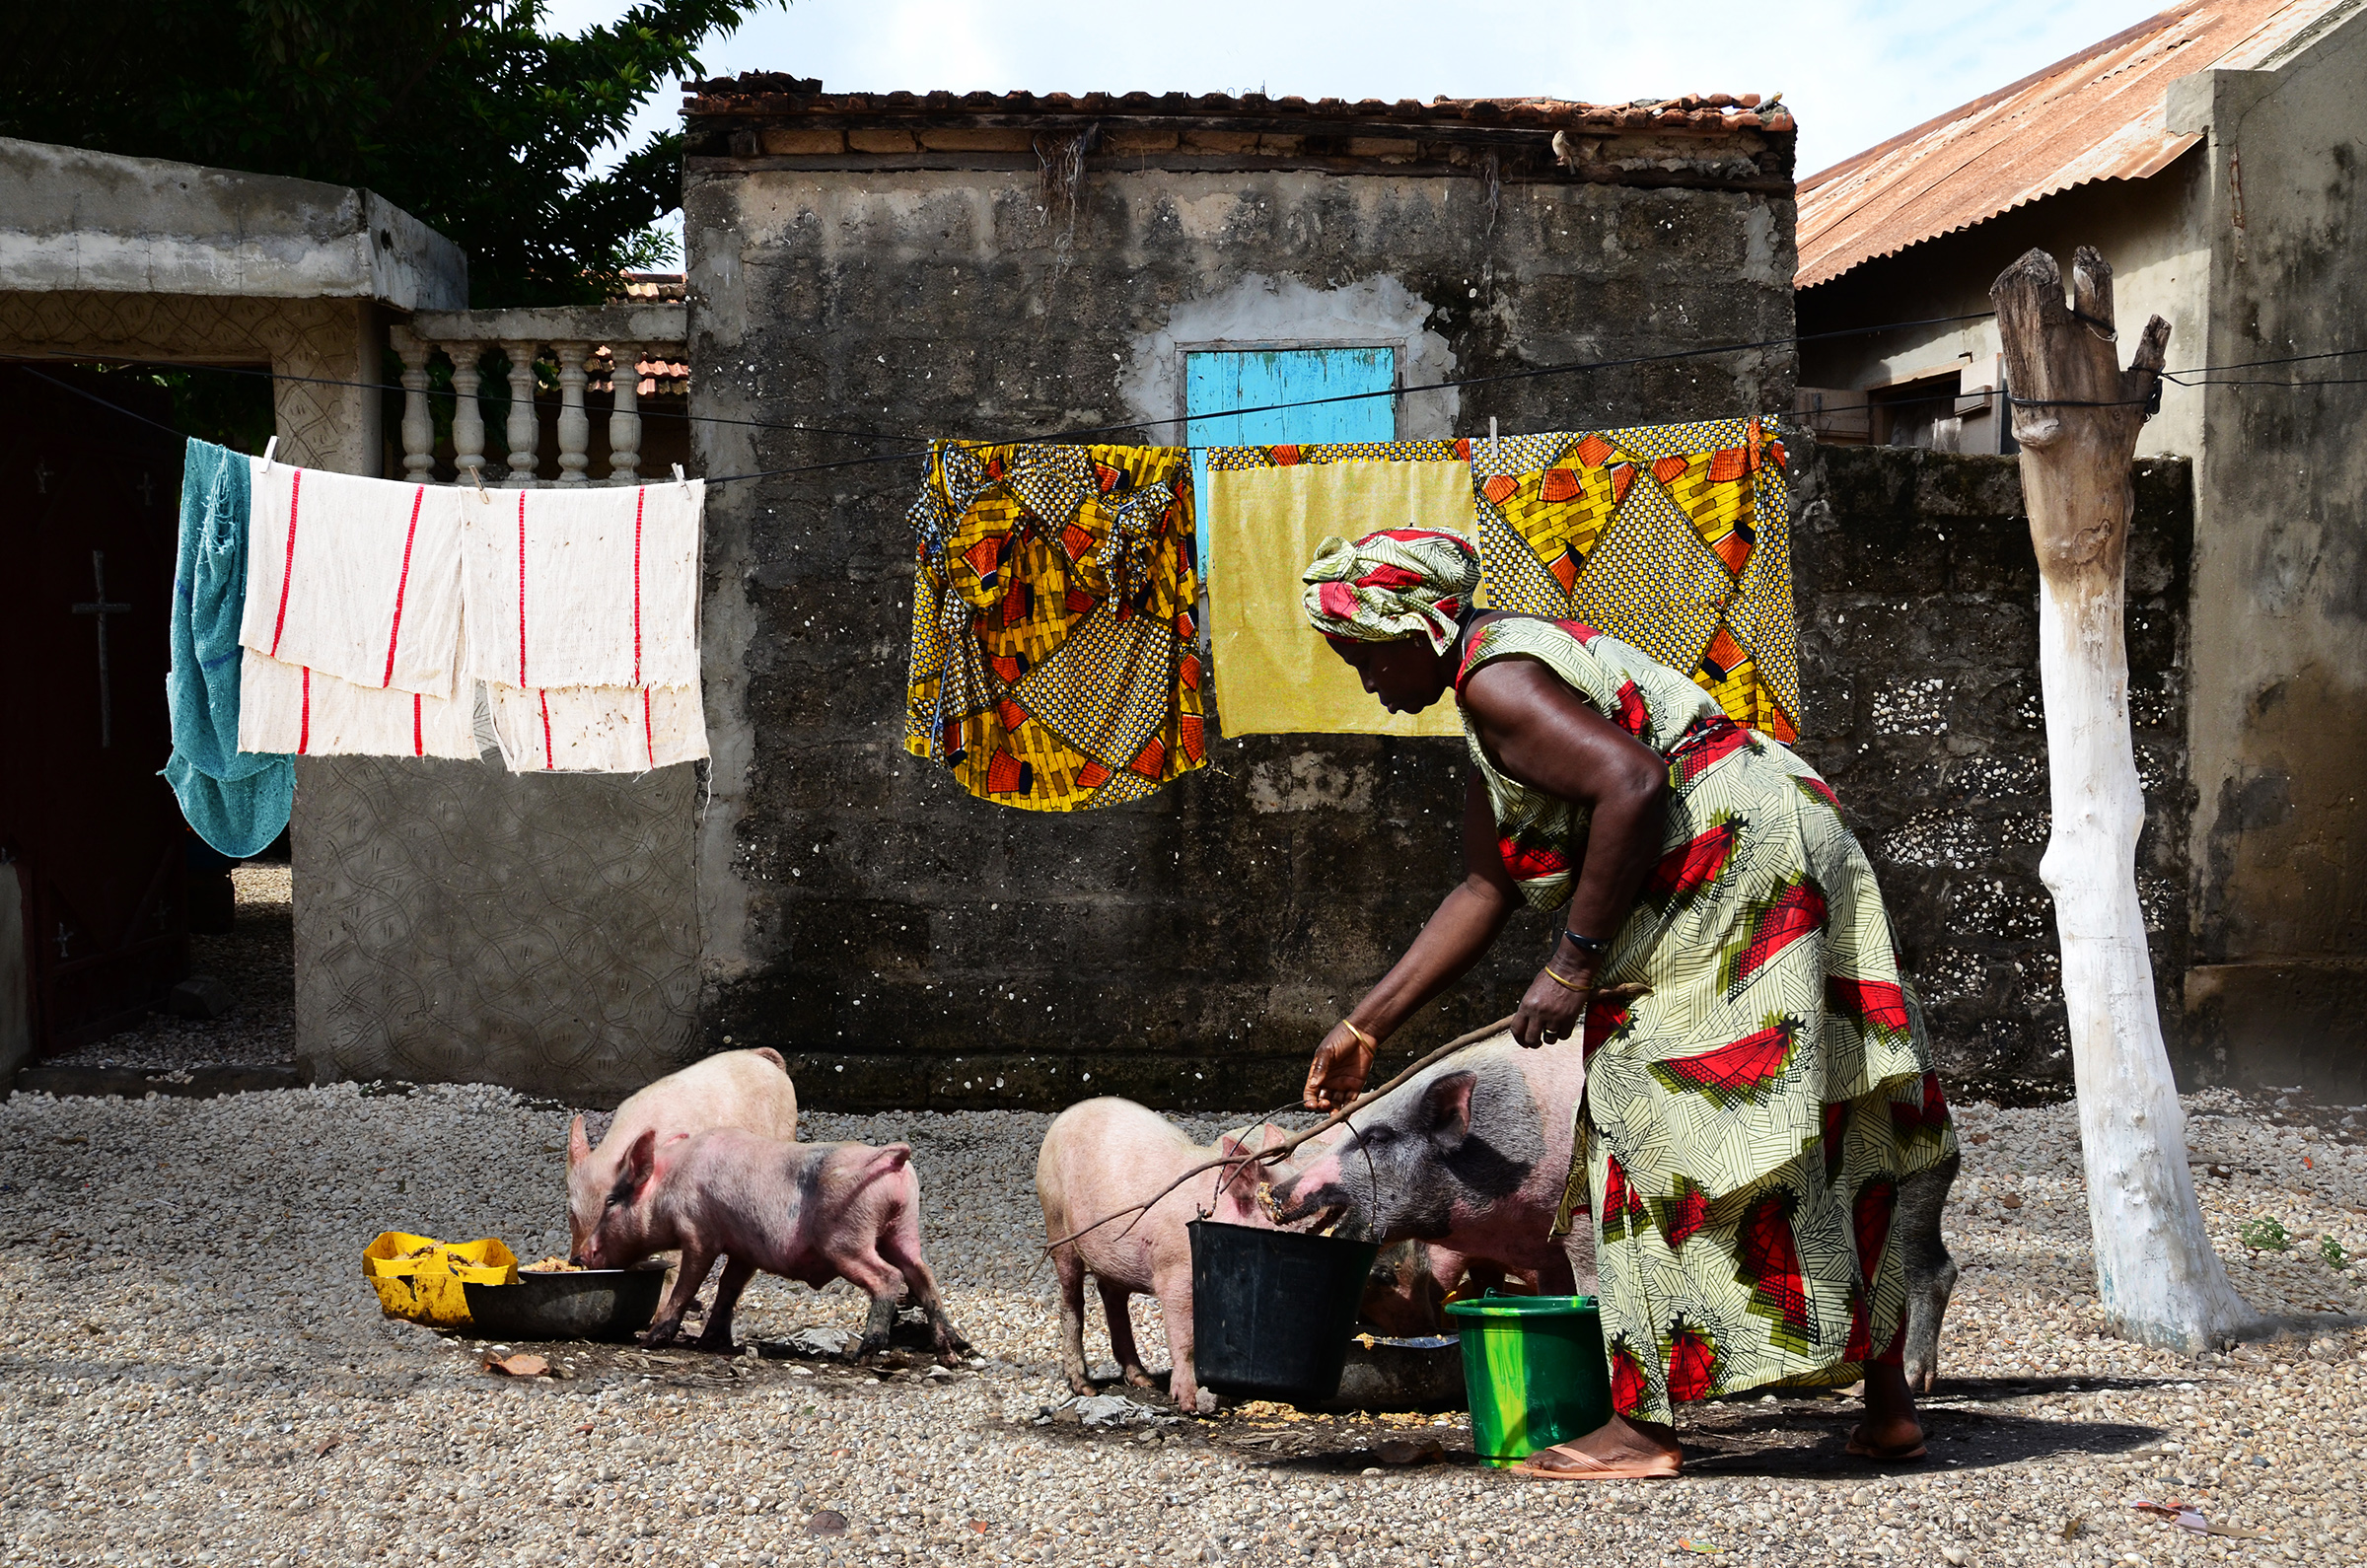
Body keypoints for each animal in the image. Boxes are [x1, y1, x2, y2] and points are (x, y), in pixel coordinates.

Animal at [577, 1132, 966, 1364]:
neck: (670, 1184)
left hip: (848, 1239)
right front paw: (710, 1342)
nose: (580, 1256)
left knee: (889, 1277)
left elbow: (689, 1284)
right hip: (903, 1227)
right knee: (923, 1275)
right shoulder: (744, 1248)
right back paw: (955, 1349)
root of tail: (892, 1159)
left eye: (611, 1200)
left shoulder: (700, 1232)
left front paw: (651, 1338)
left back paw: (862, 1355)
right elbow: (728, 1288)